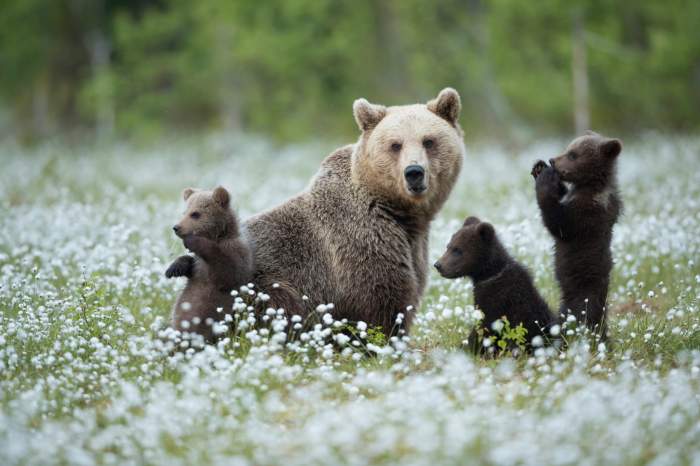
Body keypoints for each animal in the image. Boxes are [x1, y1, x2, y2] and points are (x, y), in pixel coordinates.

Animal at [165, 186, 253, 342]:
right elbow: (190, 264)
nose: (176, 227)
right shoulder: (198, 266)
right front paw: (174, 268)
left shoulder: (236, 254)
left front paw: (193, 241)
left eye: (195, 214)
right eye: (184, 212)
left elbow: (226, 272)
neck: (218, 236)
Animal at [245, 88, 464, 334]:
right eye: (395, 144)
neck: (399, 212)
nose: (414, 172)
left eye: (428, 141)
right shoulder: (361, 244)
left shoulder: (414, 247)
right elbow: (382, 303)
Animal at [434, 217, 556, 352]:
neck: (489, 274)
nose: (438, 265)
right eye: (448, 246)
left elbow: (483, 329)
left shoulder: (498, 301)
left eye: (457, 250)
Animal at [532, 131, 624, 338]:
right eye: (568, 148)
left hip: (581, 293)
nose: (553, 160)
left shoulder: (587, 214)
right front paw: (538, 168)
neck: (589, 185)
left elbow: (559, 224)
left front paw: (545, 180)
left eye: (573, 155)